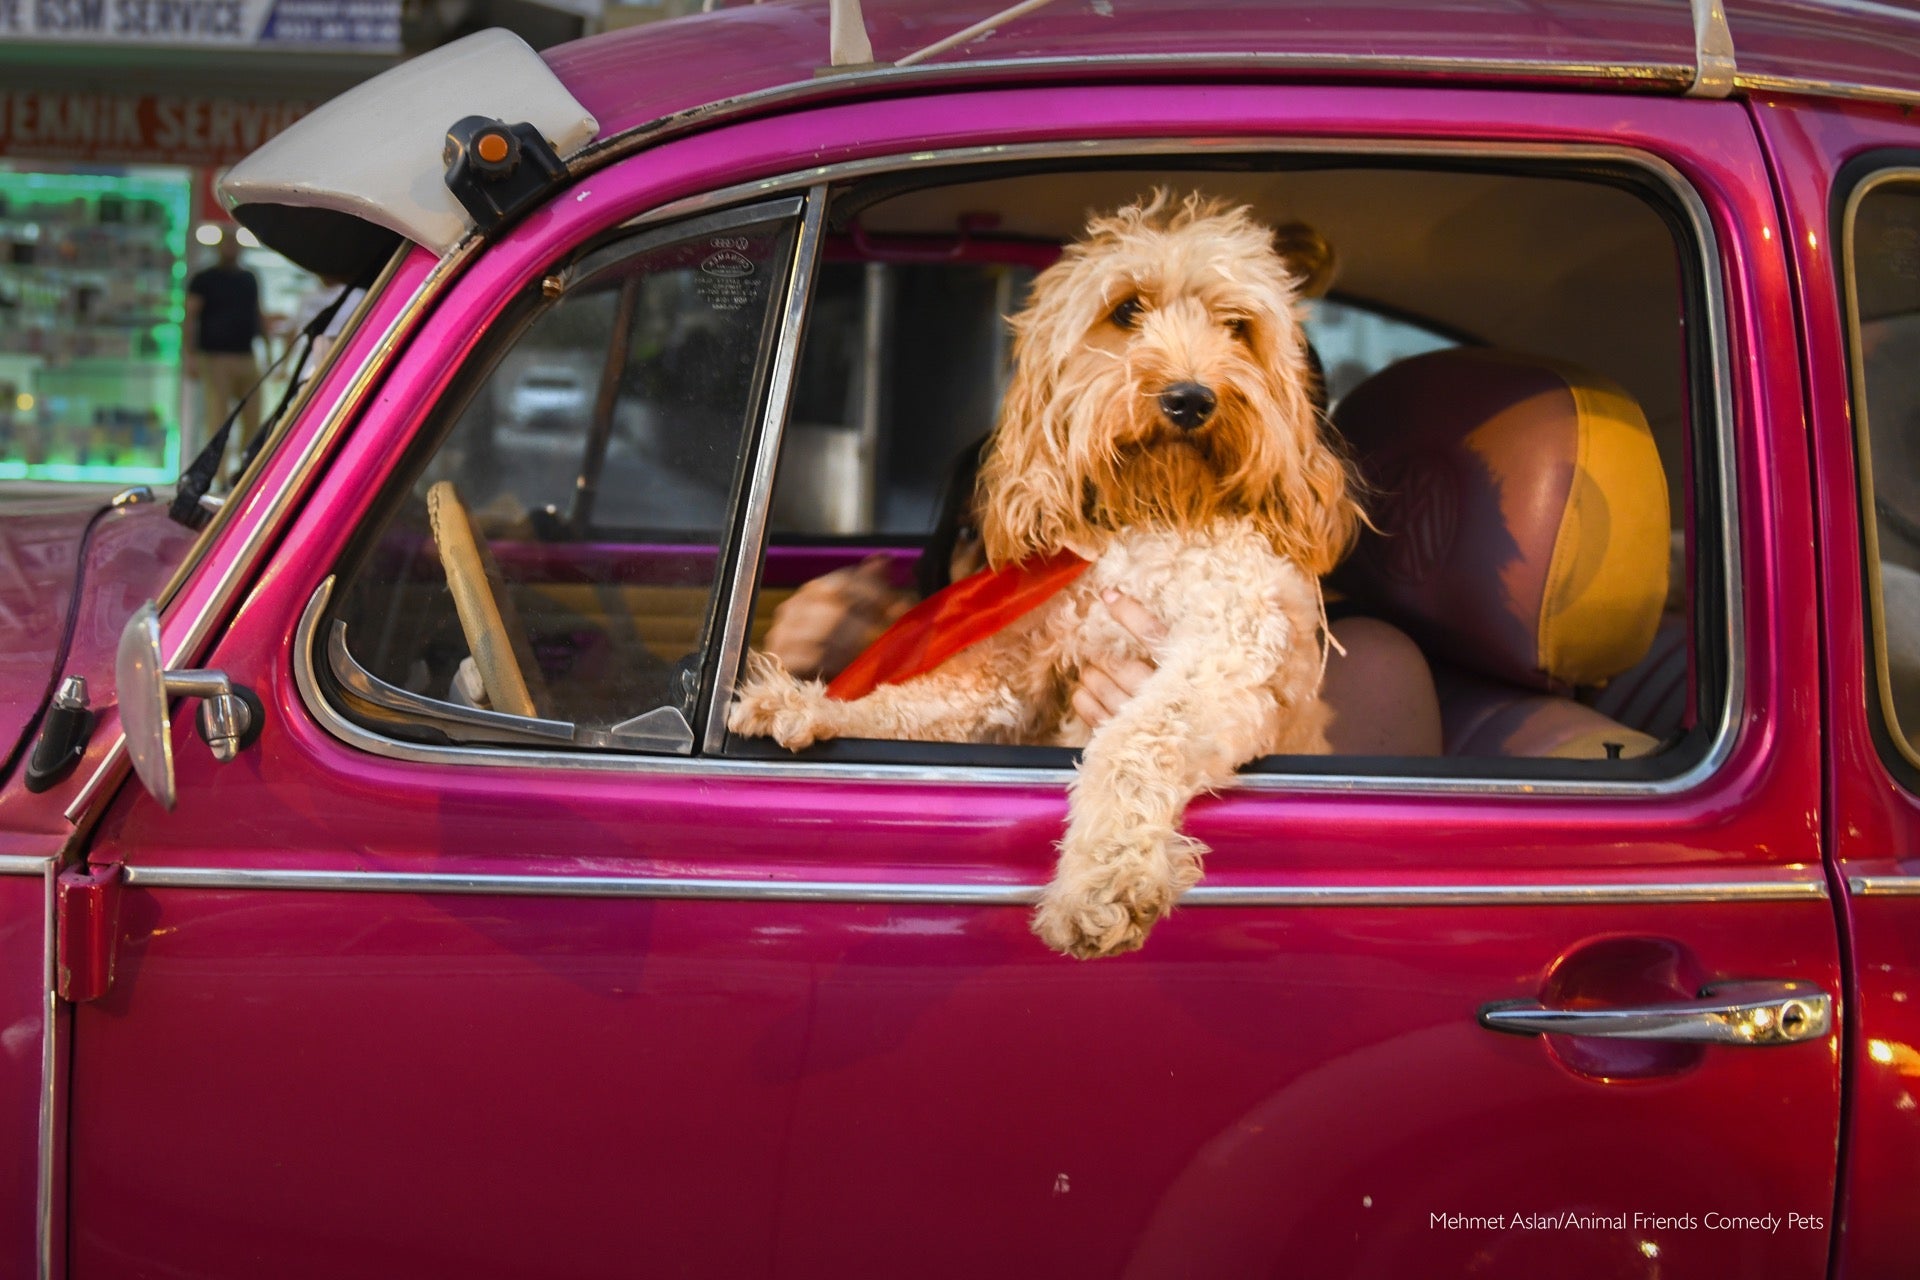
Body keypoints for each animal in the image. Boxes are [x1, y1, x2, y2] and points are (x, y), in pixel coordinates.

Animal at [725, 188, 1359, 951]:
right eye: (1127, 310)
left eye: (1238, 326)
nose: (1190, 398)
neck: (1151, 518)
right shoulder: (1018, 673)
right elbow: (917, 700)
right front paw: (809, 704)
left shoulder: (1224, 660)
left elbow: (1134, 741)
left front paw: (1104, 883)